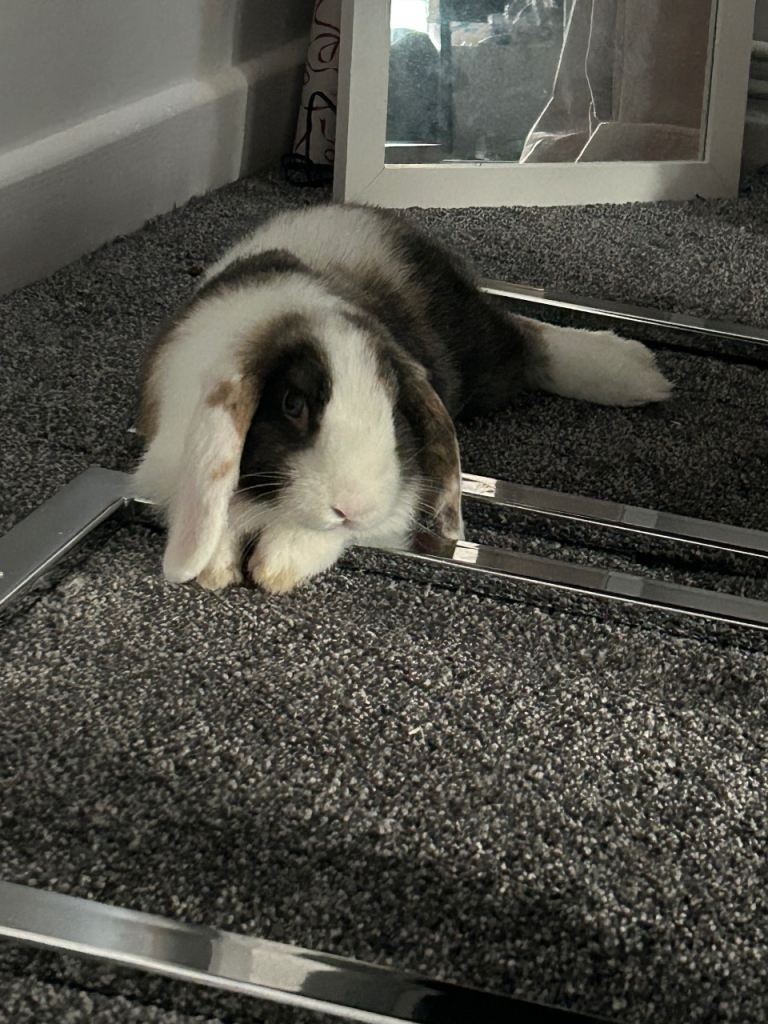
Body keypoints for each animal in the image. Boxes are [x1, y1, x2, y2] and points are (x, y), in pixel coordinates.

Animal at [133, 203, 672, 594]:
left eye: (394, 409)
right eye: (292, 405)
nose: (355, 505)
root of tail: (376, 216)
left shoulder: (404, 492)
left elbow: (329, 535)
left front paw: (278, 561)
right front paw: (215, 564)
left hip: (480, 352)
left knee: (533, 342)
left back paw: (640, 372)